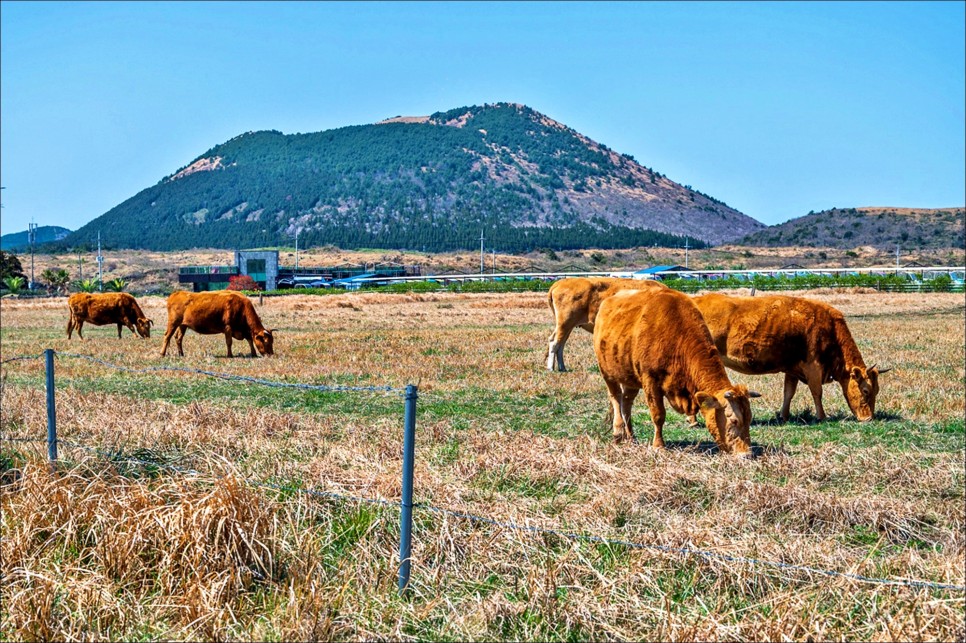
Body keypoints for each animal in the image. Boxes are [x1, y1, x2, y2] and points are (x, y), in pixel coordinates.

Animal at [592, 290, 760, 456]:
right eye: (733, 420)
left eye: (749, 419)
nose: (746, 454)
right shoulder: (650, 381)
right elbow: (658, 415)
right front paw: (658, 446)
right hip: (607, 372)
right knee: (615, 397)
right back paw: (618, 434)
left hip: (630, 377)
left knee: (626, 402)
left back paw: (631, 437)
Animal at [696, 292, 892, 422]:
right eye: (865, 390)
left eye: (877, 391)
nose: (868, 418)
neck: (830, 329)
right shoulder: (813, 367)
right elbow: (816, 392)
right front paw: (822, 417)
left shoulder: (792, 369)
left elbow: (788, 393)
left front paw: (784, 416)